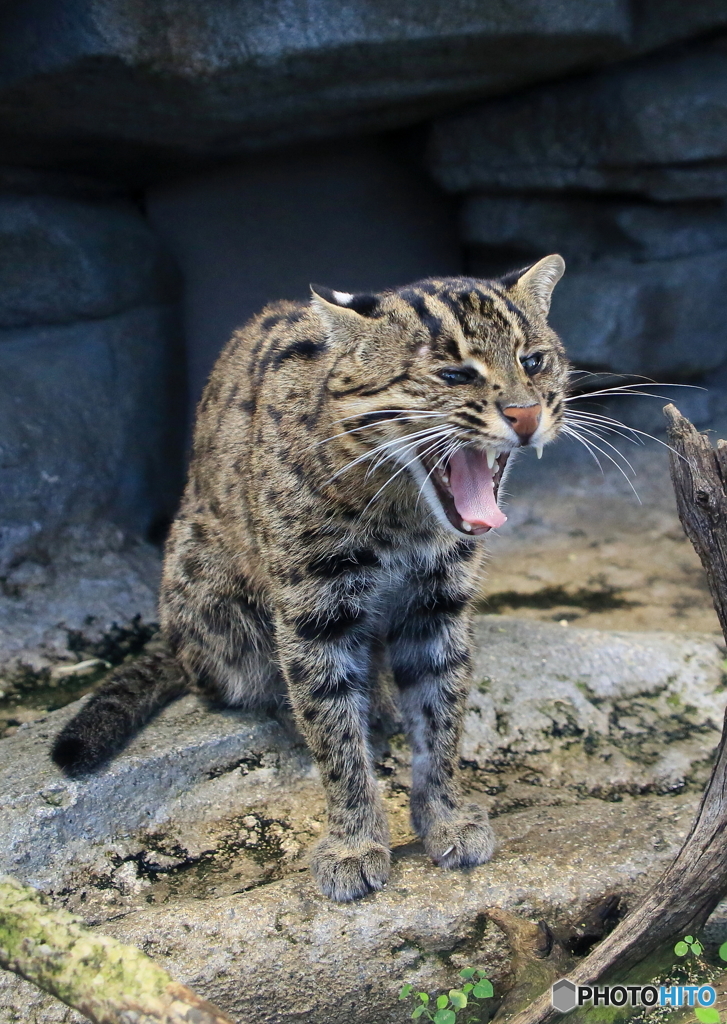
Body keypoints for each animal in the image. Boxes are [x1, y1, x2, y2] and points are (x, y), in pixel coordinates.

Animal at [54, 256, 573, 905]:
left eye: (535, 361)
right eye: (454, 374)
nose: (526, 416)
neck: (404, 516)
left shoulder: (438, 604)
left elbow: (442, 716)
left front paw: (445, 815)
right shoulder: (312, 611)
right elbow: (332, 730)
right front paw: (354, 841)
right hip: (213, 605)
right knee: (241, 683)